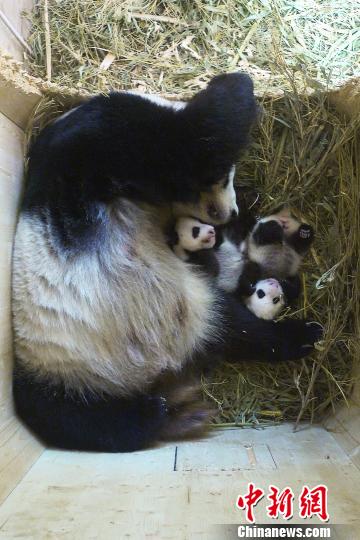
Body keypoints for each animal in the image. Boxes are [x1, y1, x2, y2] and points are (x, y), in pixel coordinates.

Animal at [11, 73, 322, 452]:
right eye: (223, 177)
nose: (230, 213)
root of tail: (158, 368)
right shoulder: (108, 143)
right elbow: (191, 137)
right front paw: (238, 86)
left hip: (189, 310)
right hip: (55, 366)